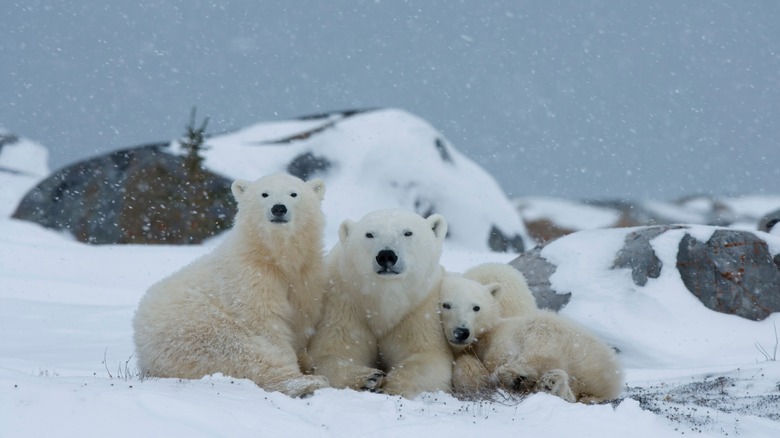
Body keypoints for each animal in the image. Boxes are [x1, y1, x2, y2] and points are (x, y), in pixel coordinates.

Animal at [133, 173, 328, 398]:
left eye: (293, 193)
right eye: (264, 194)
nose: (278, 208)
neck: (274, 257)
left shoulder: (306, 277)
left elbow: (301, 316)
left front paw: (304, 357)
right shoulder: (249, 277)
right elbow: (265, 322)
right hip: (194, 328)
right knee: (239, 350)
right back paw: (307, 383)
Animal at [310, 210, 454, 398]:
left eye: (407, 232)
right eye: (369, 234)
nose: (386, 255)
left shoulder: (420, 307)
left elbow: (427, 356)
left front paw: (390, 386)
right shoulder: (343, 302)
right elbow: (332, 353)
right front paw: (369, 378)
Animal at [442, 274, 624, 404]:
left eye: (476, 307)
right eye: (447, 305)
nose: (461, 332)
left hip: (557, 335)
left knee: (538, 348)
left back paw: (516, 375)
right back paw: (550, 384)